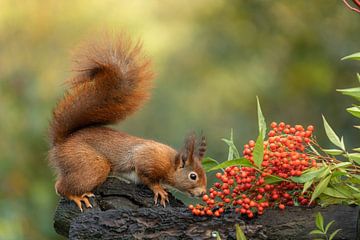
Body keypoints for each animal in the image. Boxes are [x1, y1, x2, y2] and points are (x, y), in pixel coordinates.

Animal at [49, 33, 210, 210]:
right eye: (193, 176)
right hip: (90, 165)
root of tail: (61, 142)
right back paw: (76, 196)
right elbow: (146, 177)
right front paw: (159, 189)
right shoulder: (147, 161)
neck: (170, 164)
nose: (203, 192)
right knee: (60, 187)